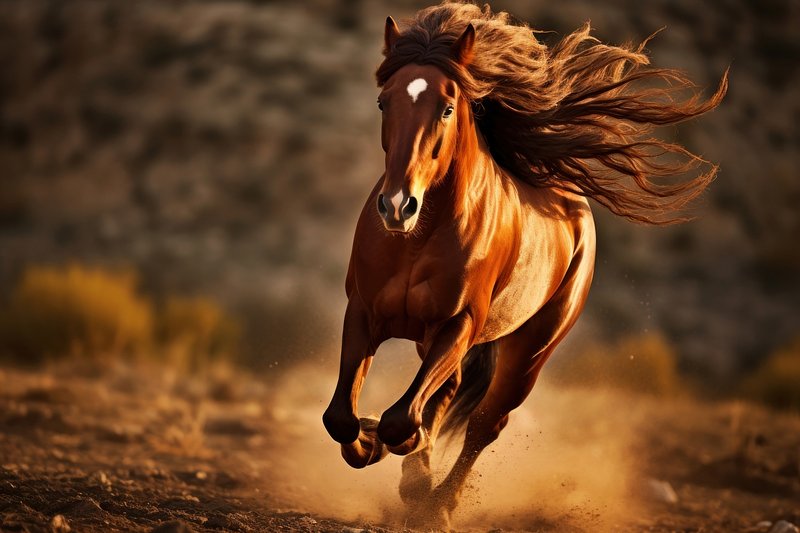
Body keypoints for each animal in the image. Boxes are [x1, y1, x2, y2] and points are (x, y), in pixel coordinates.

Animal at [322, 3, 727, 528]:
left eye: (447, 107)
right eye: (382, 103)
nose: (396, 207)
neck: (418, 237)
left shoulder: (459, 325)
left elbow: (402, 419)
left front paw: (397, 447)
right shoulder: (364, 312)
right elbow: (341, 417)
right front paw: (371, 443)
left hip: (529, 350)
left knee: (483, 423)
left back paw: (437, 504)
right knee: (446, 395)